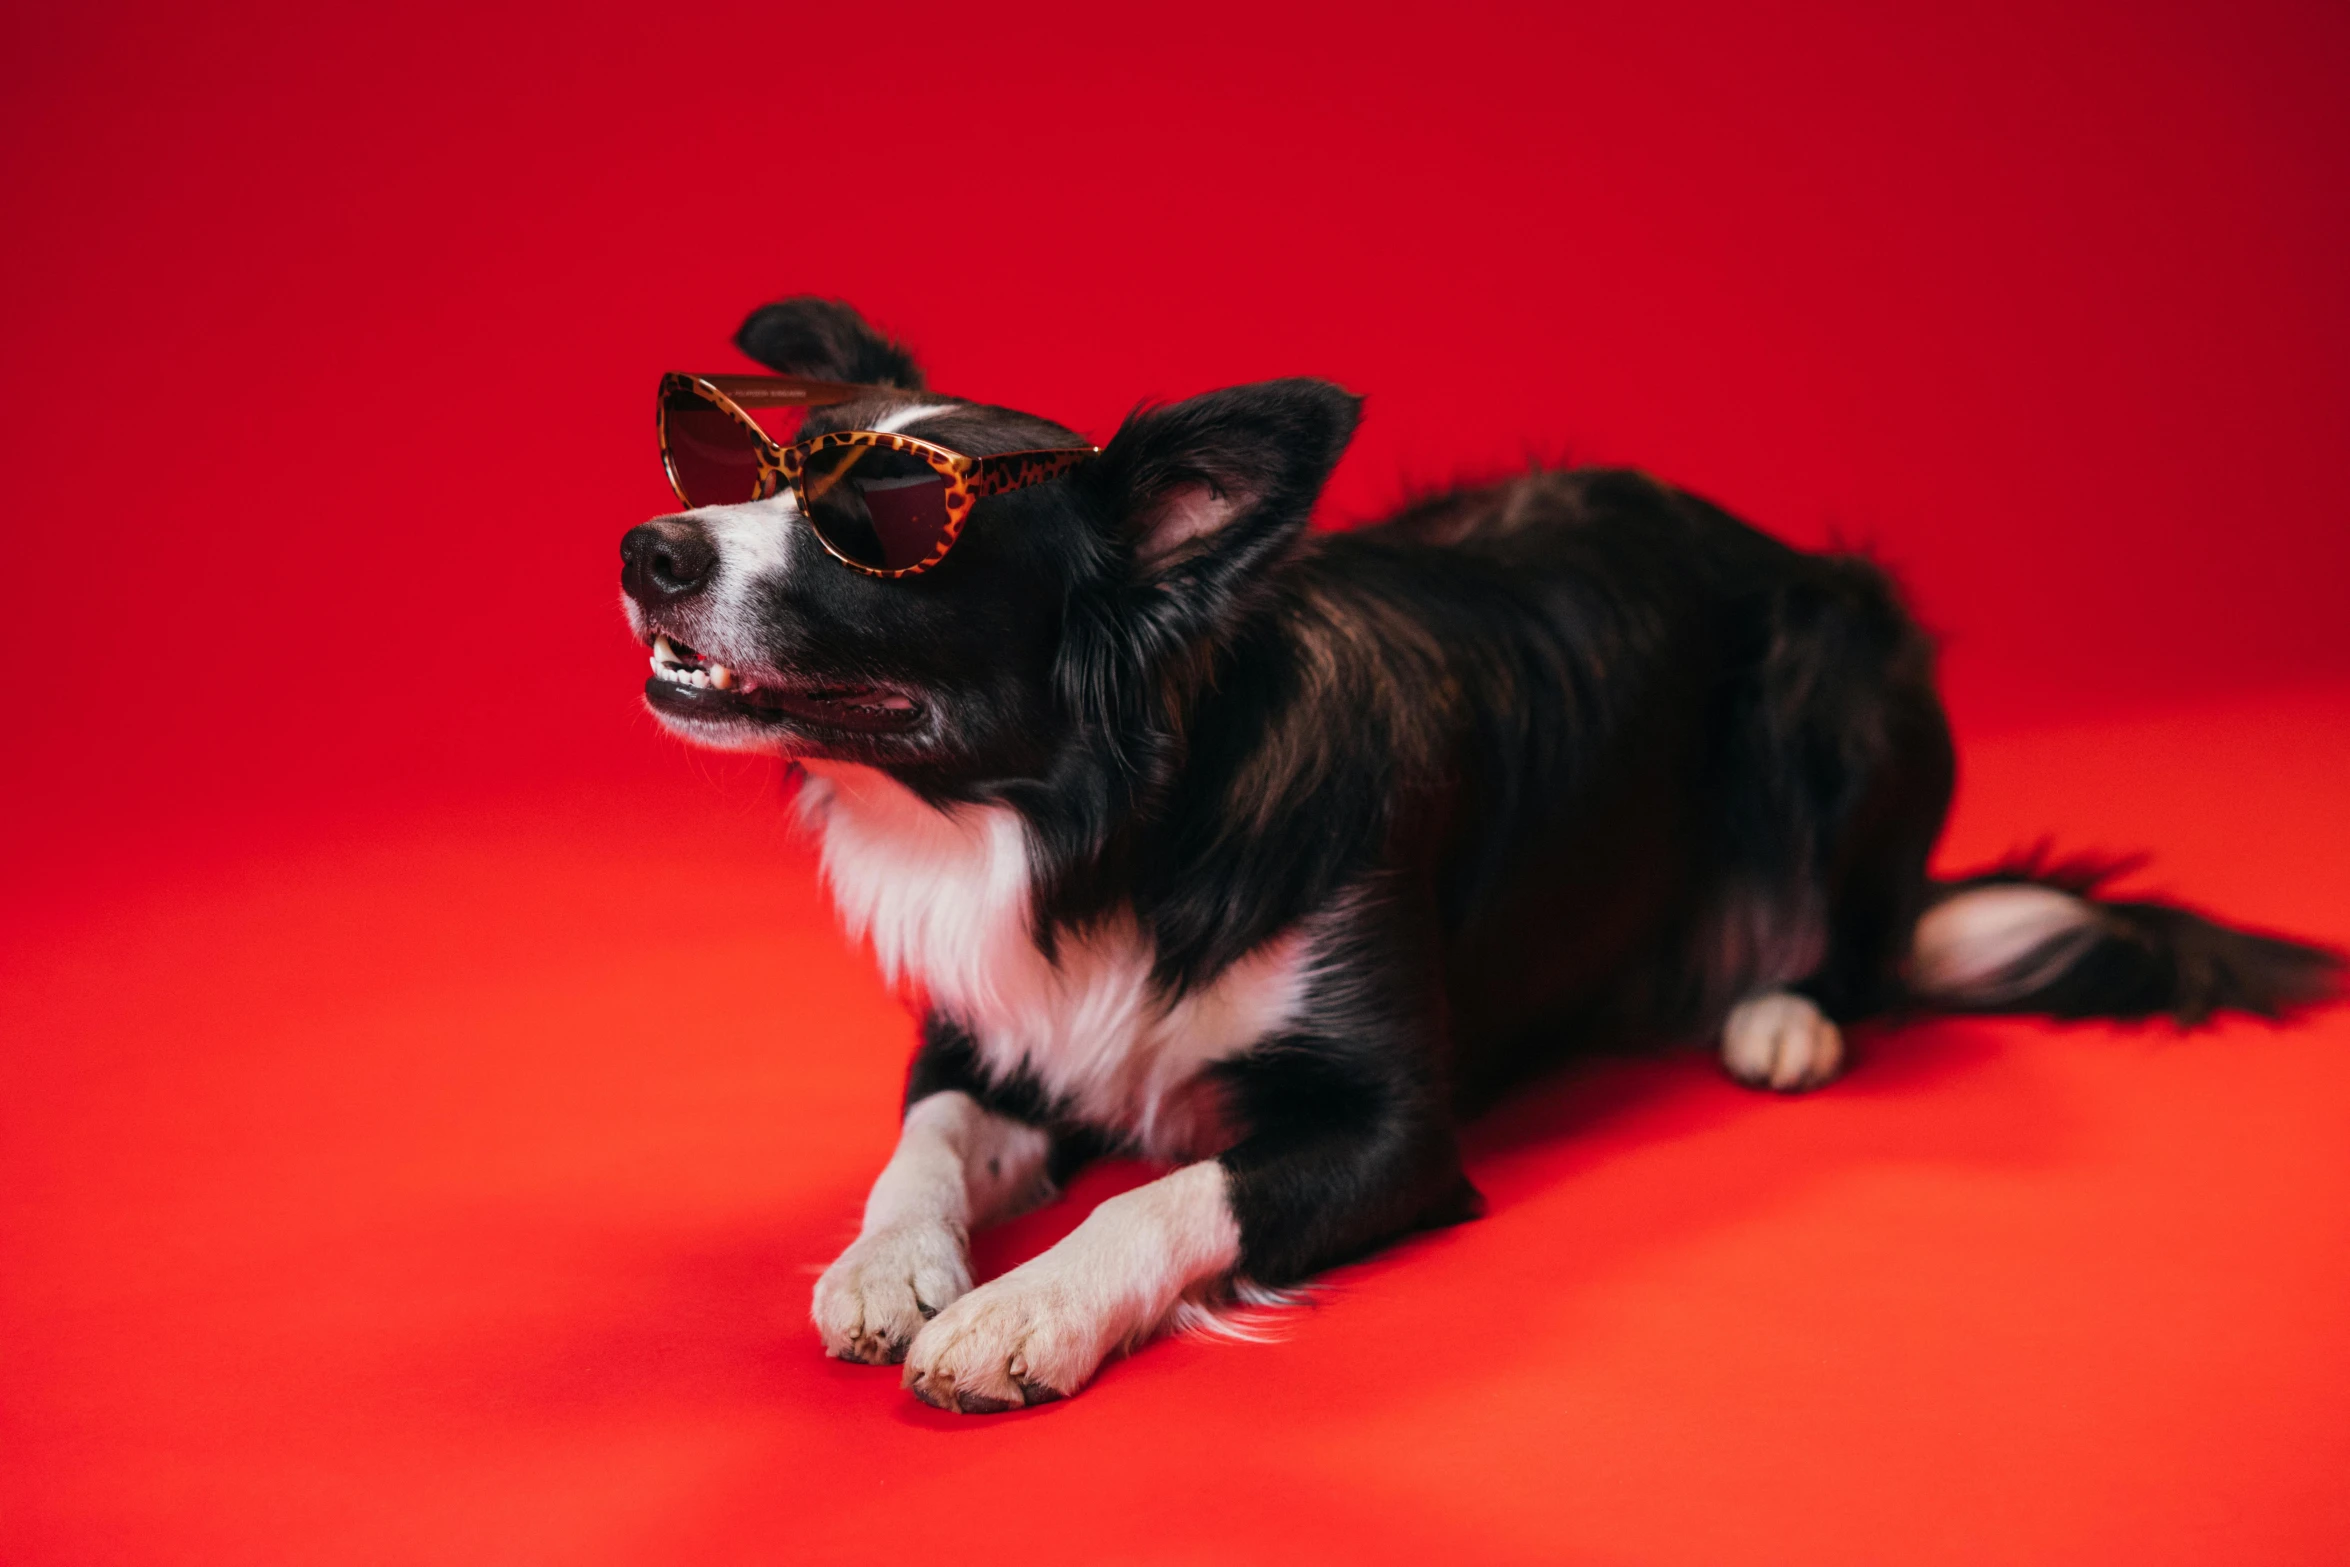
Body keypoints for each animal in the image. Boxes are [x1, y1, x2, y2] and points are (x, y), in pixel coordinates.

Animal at [615, 297, 2340, 1418]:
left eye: (885, 526)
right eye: (746, 469)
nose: (648, 546)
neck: (1094, 818)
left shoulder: (1395, 1129)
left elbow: (1168, 1190)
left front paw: (1022, 1301)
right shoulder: (993, 1027)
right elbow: (922, 1137)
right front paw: (885, 1259)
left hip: (1847, 668)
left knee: (1865, 950)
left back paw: (1780, 1014)